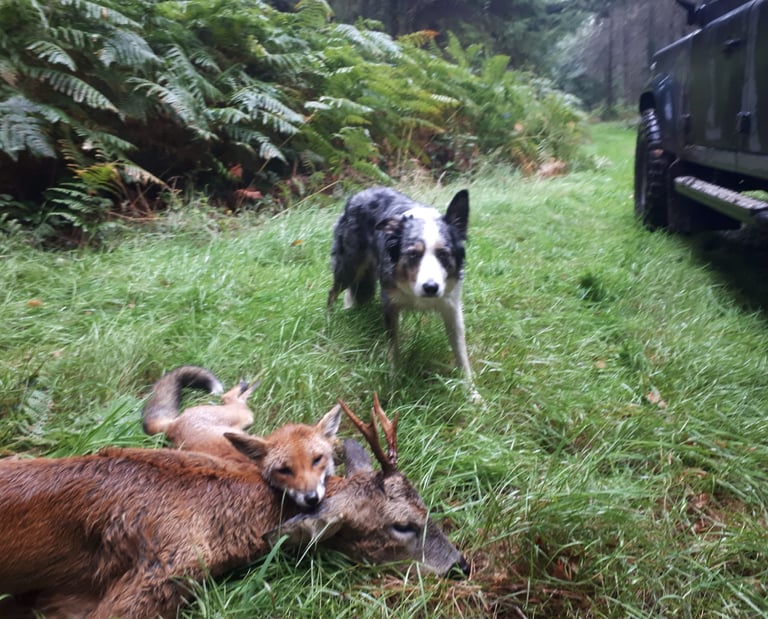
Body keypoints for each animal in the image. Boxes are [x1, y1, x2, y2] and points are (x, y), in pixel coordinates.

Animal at [143, 366, 342, 509]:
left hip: (243, 421)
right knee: (228, 397)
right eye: (284, 470)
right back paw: (247, 386)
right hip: (244, 415)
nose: (311, 498)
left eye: (317, 460)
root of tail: (173, 423)